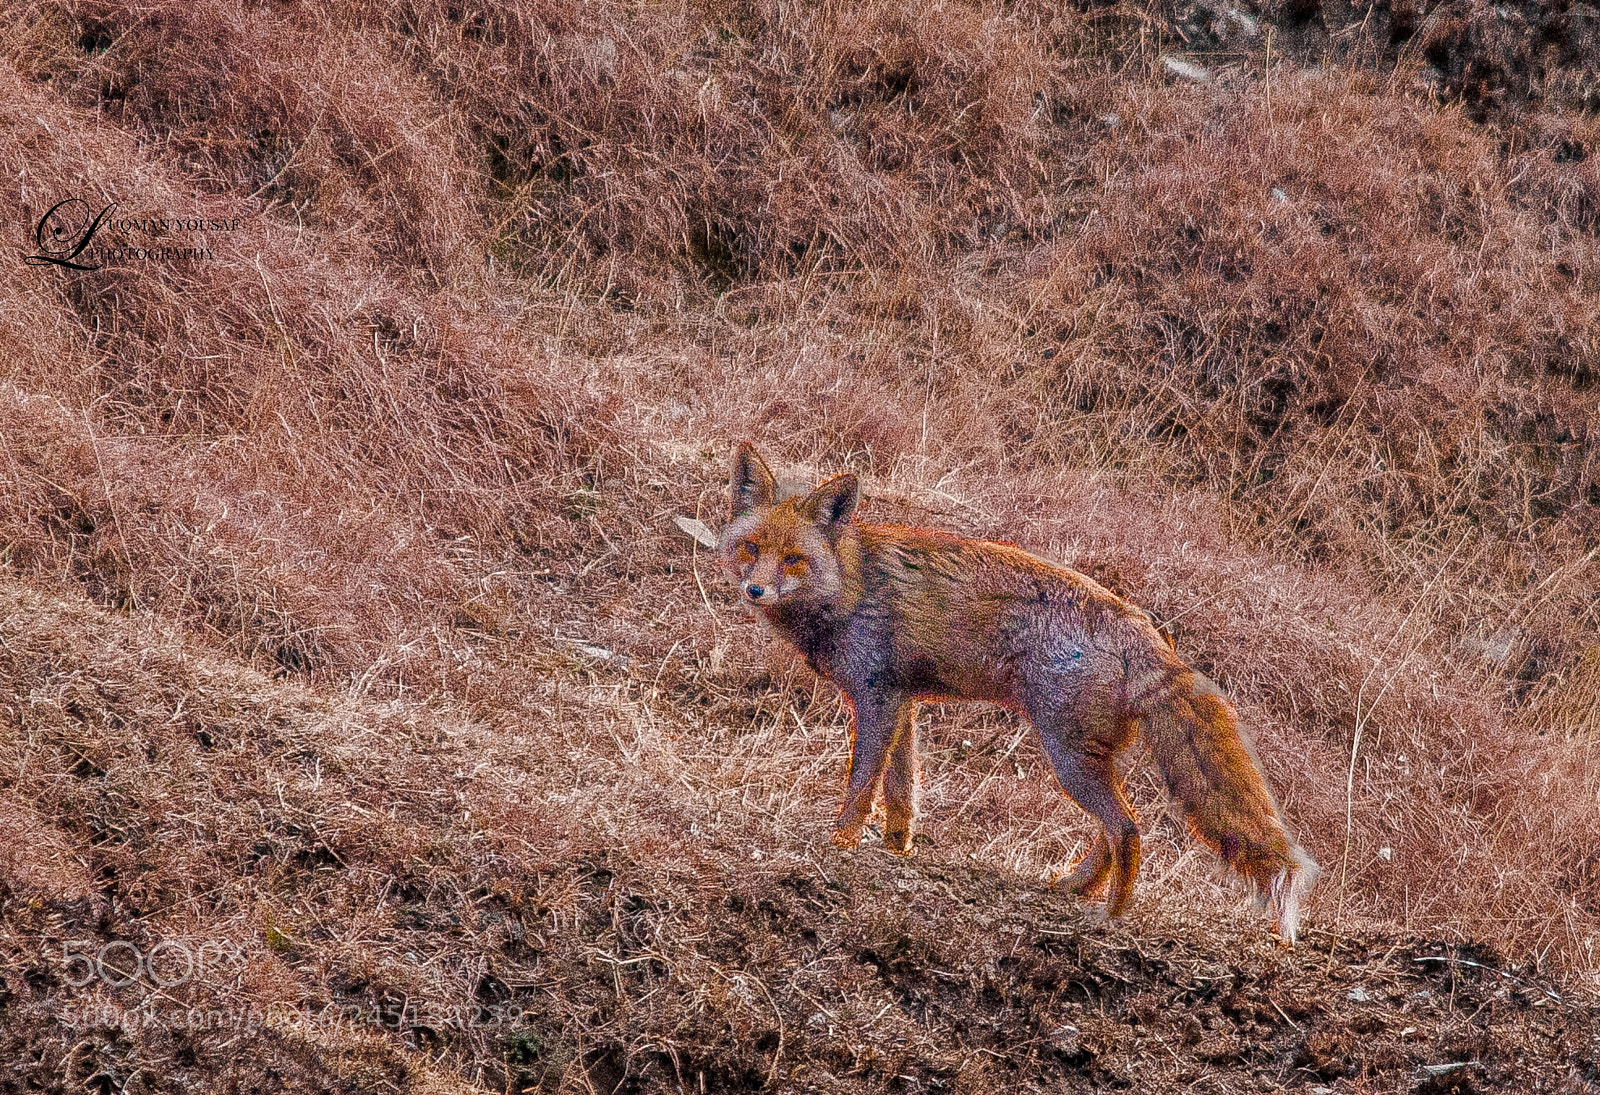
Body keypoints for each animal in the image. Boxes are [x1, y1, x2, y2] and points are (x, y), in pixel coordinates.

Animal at [718, 443, 1318, 943]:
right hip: (1085, 759)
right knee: (1114, 833)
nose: (755, 590)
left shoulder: (876, 700)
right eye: (750, 548)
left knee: (1127, 830)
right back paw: (1072, 889)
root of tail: (1143, 628)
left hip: (1067, 758)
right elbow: (902, 793)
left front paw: (839, 844)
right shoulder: (902, 702)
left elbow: (861, 786)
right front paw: (895, 852)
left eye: (794, 559)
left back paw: (1111, 917)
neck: (848, 586)